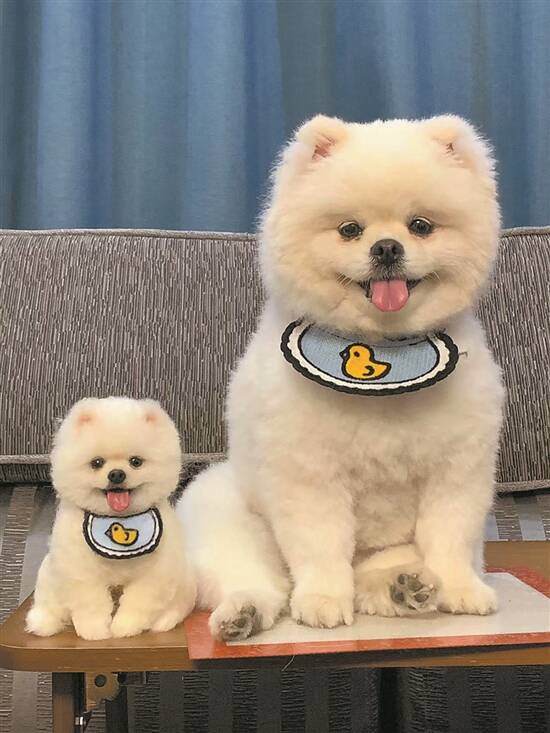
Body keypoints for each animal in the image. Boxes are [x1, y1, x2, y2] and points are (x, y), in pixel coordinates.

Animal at [26, 397, 196, 640]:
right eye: (96, 463)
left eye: (136, 461)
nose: (116, 474)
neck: (118, 520)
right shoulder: (80, 570)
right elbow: (90, 603)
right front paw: (95, 631)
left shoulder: (155, 572)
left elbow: (139, 601)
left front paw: (125, 627)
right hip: (48, 577)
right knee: (49, 604)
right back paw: (43, 622)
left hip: (183, 581)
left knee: (176, 607)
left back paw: (162, 622)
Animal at [178, 114, 504, 640]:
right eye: (350, 229)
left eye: (421, 226)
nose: (387, 247)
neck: (384, 351)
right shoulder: (310, 473)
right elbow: (321, 545)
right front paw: (324, 599)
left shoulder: (456, 470)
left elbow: (449, 537)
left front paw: (461, 590)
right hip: (230, 517)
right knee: (258, 581)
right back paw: (244, 613)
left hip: (387, 550)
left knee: (381, 575)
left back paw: (404, 587)